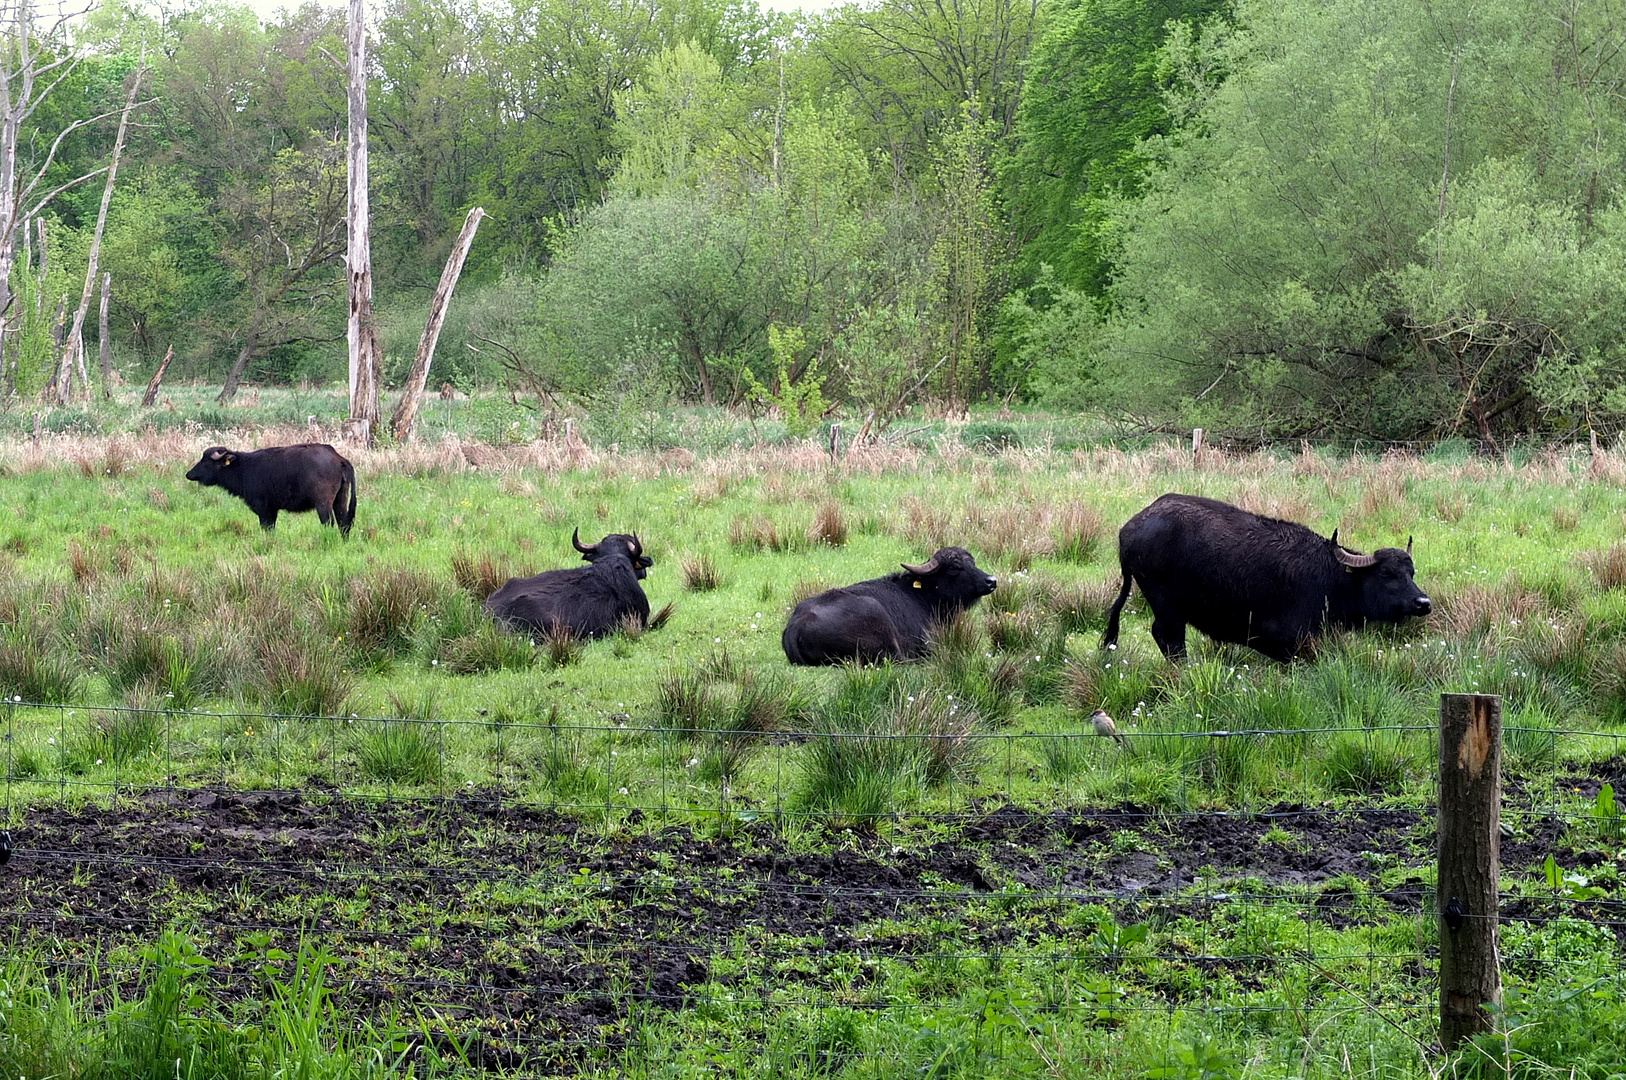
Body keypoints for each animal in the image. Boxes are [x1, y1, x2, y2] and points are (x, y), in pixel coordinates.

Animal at [186, 442, 359, 536]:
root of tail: (338, 458)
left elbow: (266, 527)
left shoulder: (263, 508)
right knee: (344, 523)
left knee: (329, 522)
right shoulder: (273, 510)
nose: (189, 474)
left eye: (206, 461)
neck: (243, 468)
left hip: (323, 503)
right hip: (341, 499)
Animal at [1099, 494, 1430, 663]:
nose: (1423, 603)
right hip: (1166, 606)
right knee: (1169, 639)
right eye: (1387, 574)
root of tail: (1129, 529)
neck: (1331, 578)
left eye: (1411, 572)